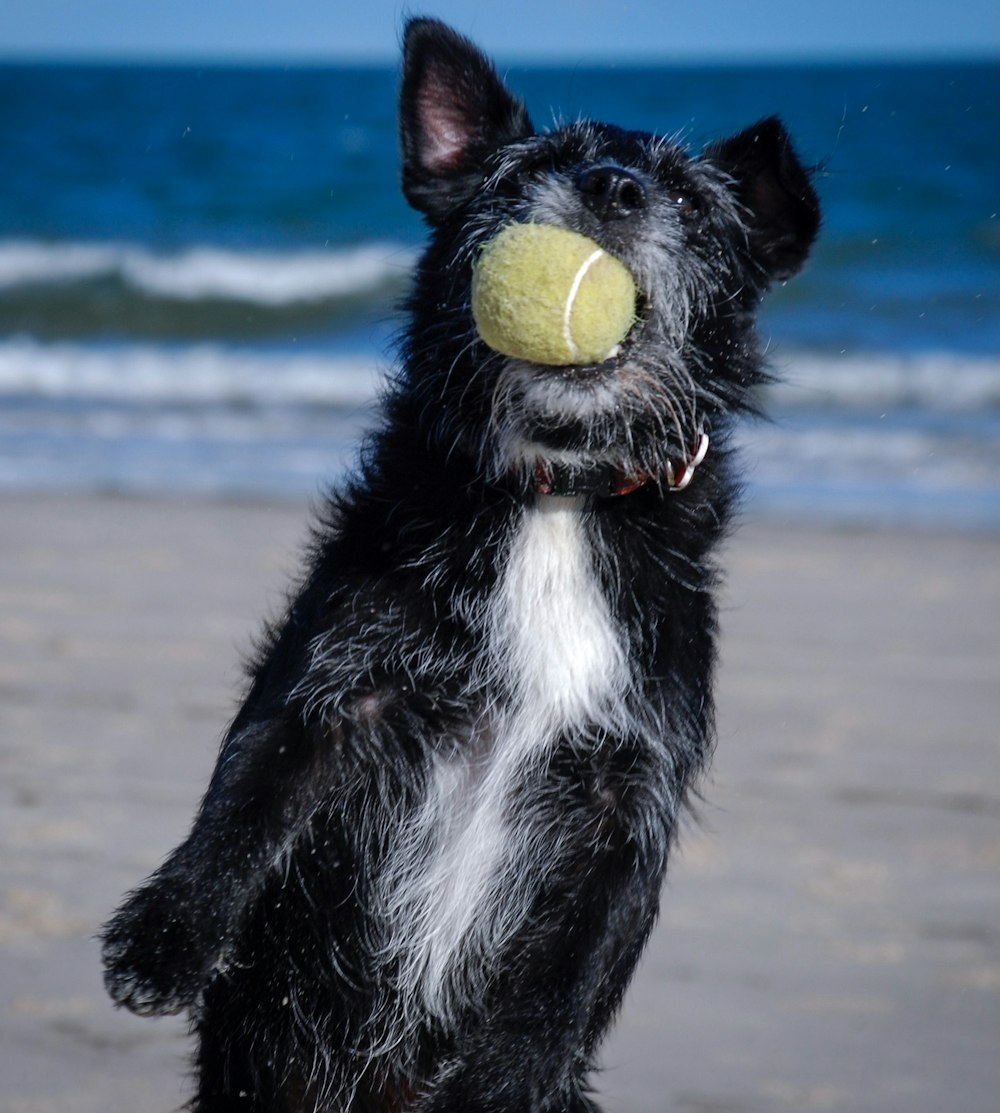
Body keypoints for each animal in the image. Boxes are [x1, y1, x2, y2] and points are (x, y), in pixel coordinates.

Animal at [101, 17, 819, 1113]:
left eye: (693, 203)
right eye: (528, 170)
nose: (611, 188)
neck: (555, 497)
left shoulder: (628, 797)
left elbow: (570, 967)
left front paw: (506, 1074)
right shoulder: (334, 687)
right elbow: (244, 798)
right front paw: (166, 934)